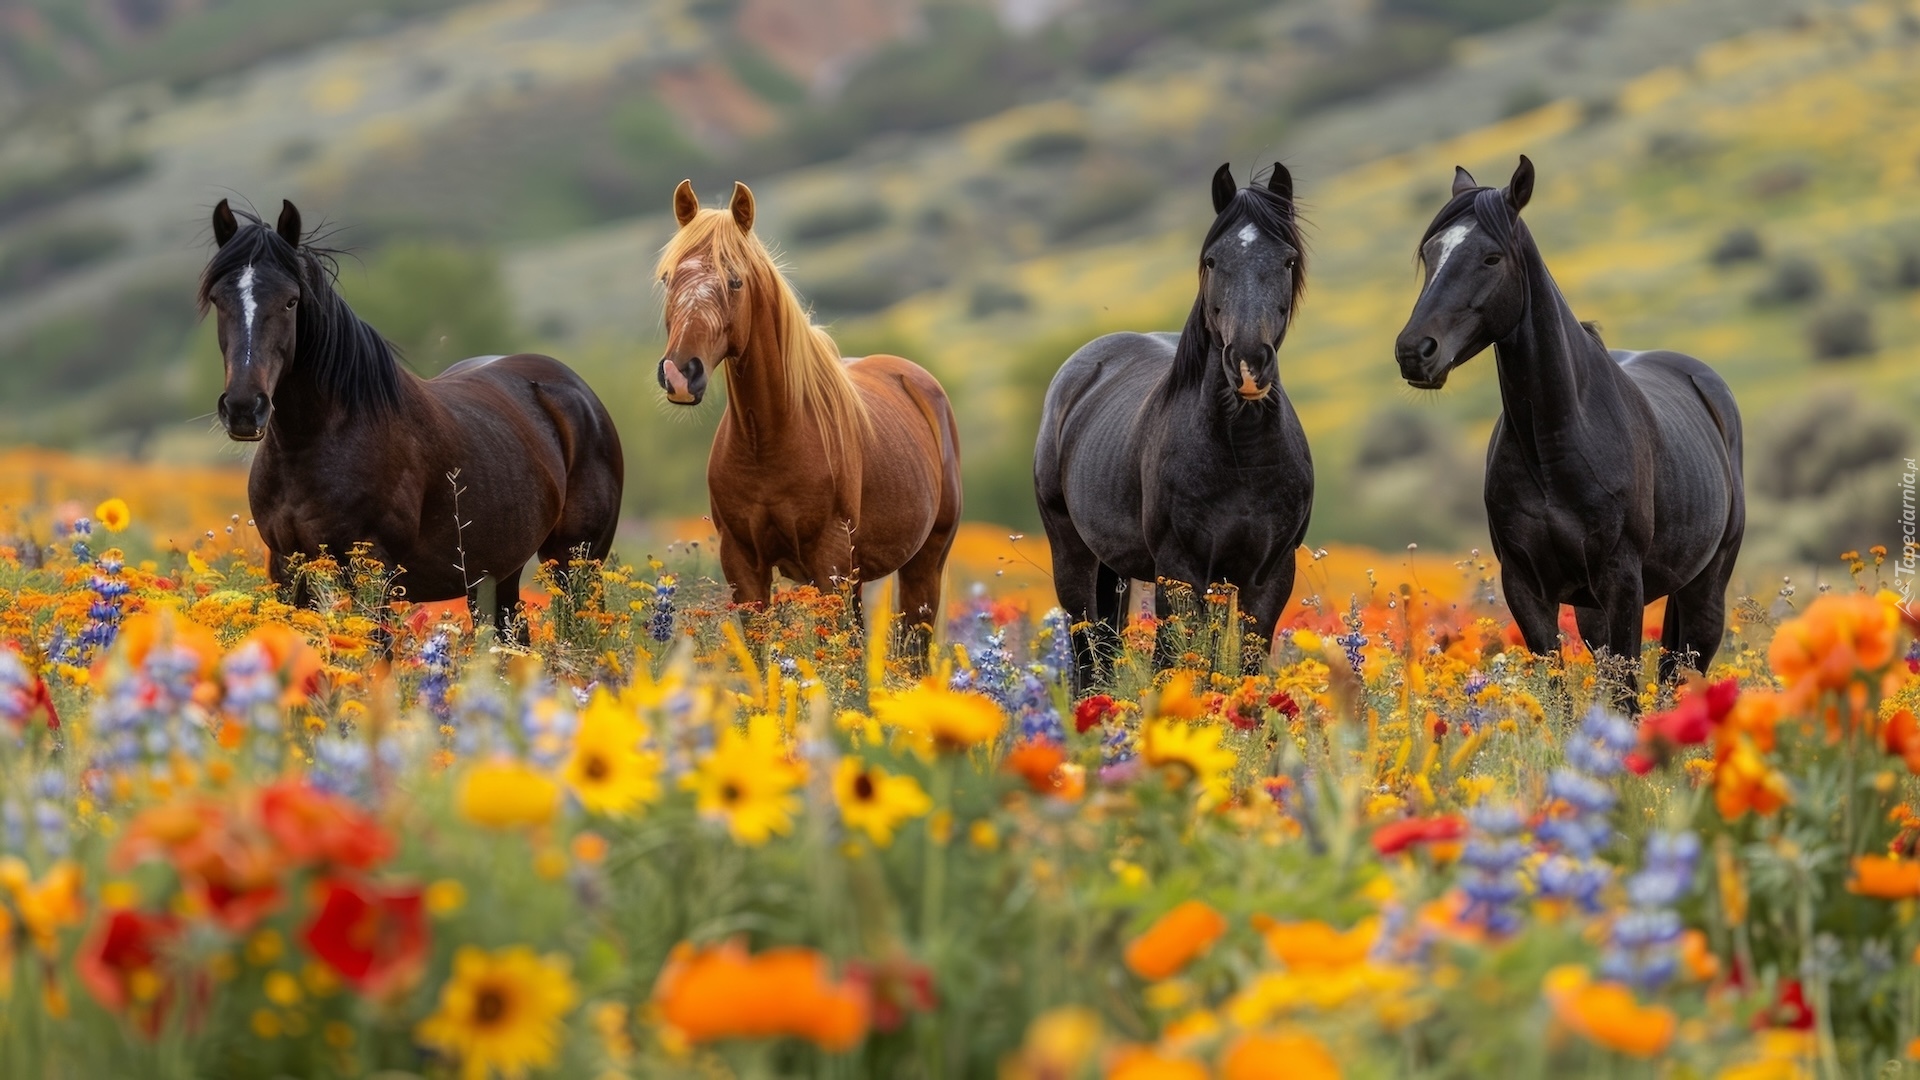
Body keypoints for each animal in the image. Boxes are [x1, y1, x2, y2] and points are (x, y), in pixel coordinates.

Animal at [192, 198, 622, 638]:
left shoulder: (374, 573)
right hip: (496, 576)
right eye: (219, 299)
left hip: (576, 563)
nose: (244, 408)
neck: (315, 440)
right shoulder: (287, 570)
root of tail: (577, 392)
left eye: (291, 300)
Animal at [656, 180, 960, 657]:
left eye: (734, 280)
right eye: (668, 278)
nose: (680, 374)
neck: (770, 439)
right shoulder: (744, 565)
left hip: (923, 565)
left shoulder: (827, 561)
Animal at [1036, 161, 1320, 680]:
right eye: (1211, 260)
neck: (1241, 453)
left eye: (1288, 260)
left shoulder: (1269, 575)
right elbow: (1175, 661)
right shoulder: (1180, 571)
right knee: (1087, 650)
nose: (1248, 363)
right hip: (1072, 553)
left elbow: (1244, 669)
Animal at [1390, 155, 1751, 703]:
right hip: (1592, 608)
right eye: (1431, 253)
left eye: (1491, 258)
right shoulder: (1527, 588)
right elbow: (1558, 695)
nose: (1414, 351)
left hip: (1704, 590)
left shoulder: (1622, 584)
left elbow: (1626, 696)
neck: (1556, 443)